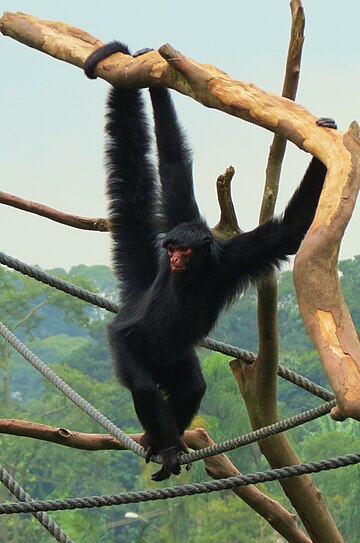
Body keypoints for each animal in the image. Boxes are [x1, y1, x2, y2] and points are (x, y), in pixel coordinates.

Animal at [85, 43, 338, 484]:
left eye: (184, 251)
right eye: (171, 249)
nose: (173, 257)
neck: (195, 275)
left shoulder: (232, 258)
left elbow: (289, 232)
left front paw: (322, 140)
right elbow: (172, 166)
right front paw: (158, 82)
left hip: (174, 356)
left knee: (191, 388)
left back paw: (161, 442)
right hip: (132, 343)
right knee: (144, 384)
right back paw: (167, 447)